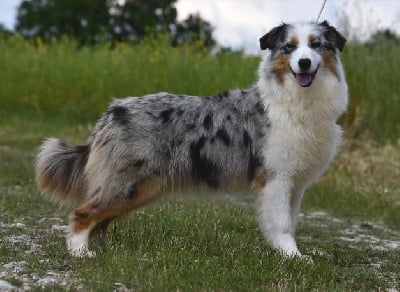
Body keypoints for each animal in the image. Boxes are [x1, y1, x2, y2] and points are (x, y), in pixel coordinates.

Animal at [35, 21, 346, 258]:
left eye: (316, 45)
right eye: (289, 47)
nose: (304, 63)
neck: (299, 100)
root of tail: (113, 110)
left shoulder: (296, 182)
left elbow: (290, 221)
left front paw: (291, 253)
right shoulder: (276, 177)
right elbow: (281, 223)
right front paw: (293, 257)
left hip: (137, 187)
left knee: (100, 219)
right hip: (128, 184)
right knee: (83, 213)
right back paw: (80, 252)